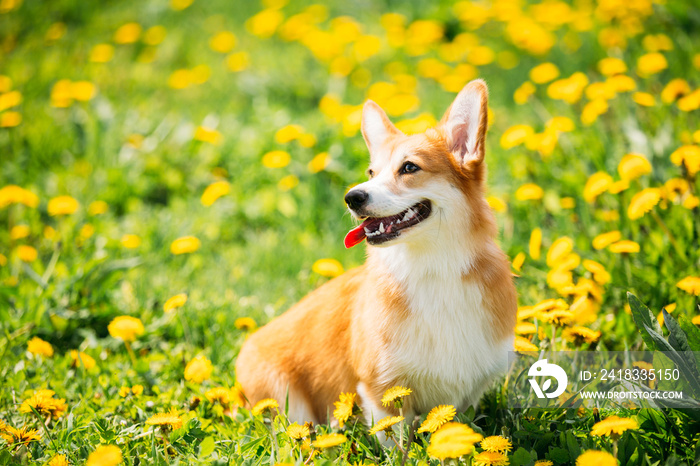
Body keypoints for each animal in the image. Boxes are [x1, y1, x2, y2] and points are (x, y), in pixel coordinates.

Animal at [238, 78, 516, 424]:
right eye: (372, 173)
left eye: (409, 167)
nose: (352, 197)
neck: (432, 268)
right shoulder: (381, 387)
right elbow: (395, 433)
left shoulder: (468, 392)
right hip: (287, 403)